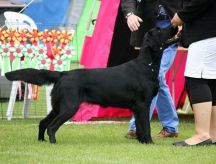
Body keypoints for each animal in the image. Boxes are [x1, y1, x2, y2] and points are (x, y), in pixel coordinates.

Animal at [5, 26, 177, 144]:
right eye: (160, 29)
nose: (175, 25)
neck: (148, 65)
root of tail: (63, 73)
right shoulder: (143, 104)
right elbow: (146, 126)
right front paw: (149, 142)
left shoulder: (137, 107)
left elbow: (140, 127)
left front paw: (142, 142)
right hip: (69, 107)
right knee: (51, 127)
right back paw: (53, 143)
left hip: (58, 106)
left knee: (43, 123)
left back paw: (42, 141)